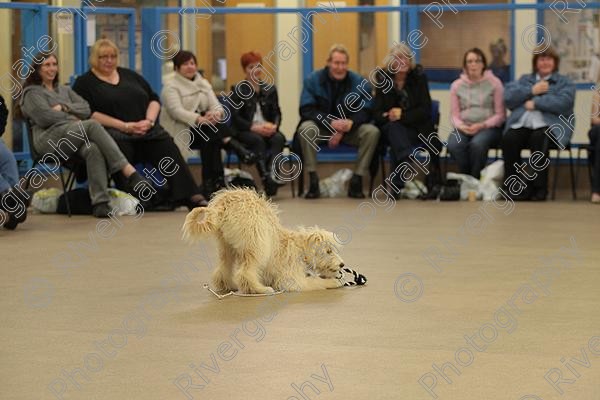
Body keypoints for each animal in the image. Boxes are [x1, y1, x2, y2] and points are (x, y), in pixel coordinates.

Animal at [182, 188, 346, 294]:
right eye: (329, 251)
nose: (342, 264)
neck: (299, 249)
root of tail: (222, 204)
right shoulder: (291, 279)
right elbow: (312, 282)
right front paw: (334, 282)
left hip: (226, 245)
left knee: (223, 268)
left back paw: (228, 285)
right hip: (256, 244)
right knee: (245, 272)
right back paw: (259, 289)